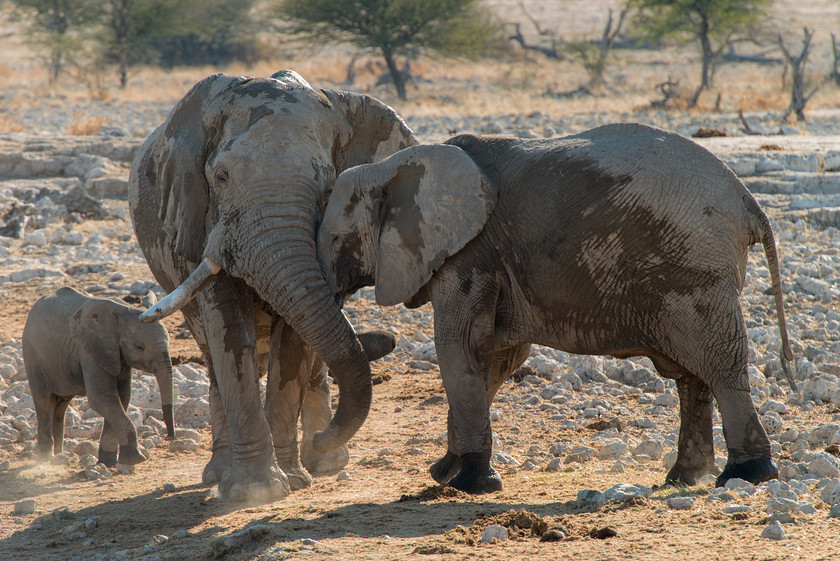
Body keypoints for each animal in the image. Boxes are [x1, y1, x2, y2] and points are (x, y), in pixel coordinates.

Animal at [22, 286, 176, 466]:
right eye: (139, 347)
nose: (169, 437)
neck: (125, 311)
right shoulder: (90, 349)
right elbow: (101, 398)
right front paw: (135, 459)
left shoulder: (116, 354)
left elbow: (121, 398)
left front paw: (107, 462)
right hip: (33, 354)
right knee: (44, 401)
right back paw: (44, 459)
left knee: (61, 405)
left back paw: (59, 456)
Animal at [130, 68, 416, 500]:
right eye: (221, 177)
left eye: (329, 188)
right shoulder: (198, 220)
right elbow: (230, 330)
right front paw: (254, 490)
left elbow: (296, 341)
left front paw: (292, 480)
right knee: (211, 355)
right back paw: (219, 472)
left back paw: (324, 464)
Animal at [316, 123, 796, 494]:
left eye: (336, 239)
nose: (318, 443)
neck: (391, 168)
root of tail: (749, 203)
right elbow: (497, 357)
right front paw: (445, 473)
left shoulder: (468, 254)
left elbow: (459, 347)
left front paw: (469, 485)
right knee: (690, 373)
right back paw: (684, 477)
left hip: (695, 265)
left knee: (718, 362)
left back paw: (747, 475)